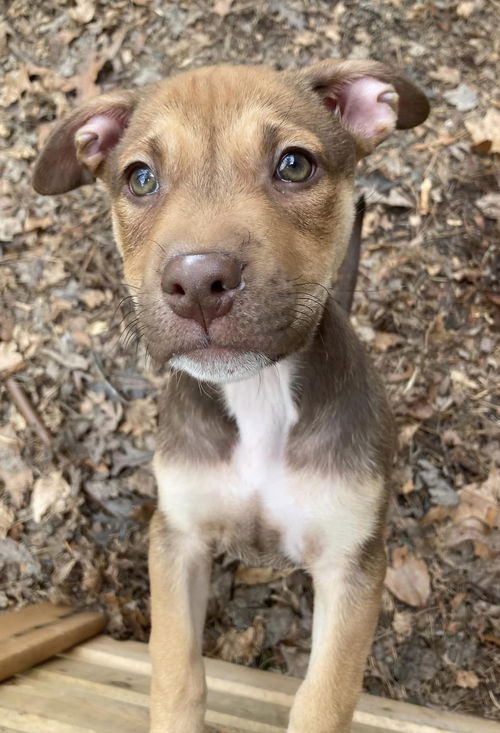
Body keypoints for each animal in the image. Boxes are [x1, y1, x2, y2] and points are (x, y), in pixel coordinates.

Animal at [33, 61, 428, 732]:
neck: (259, 394)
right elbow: (175, 673)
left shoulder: (352, 566)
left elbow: (324, 699)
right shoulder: (177, 541)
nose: (197, 283)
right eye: (140, 178)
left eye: (294, 165)